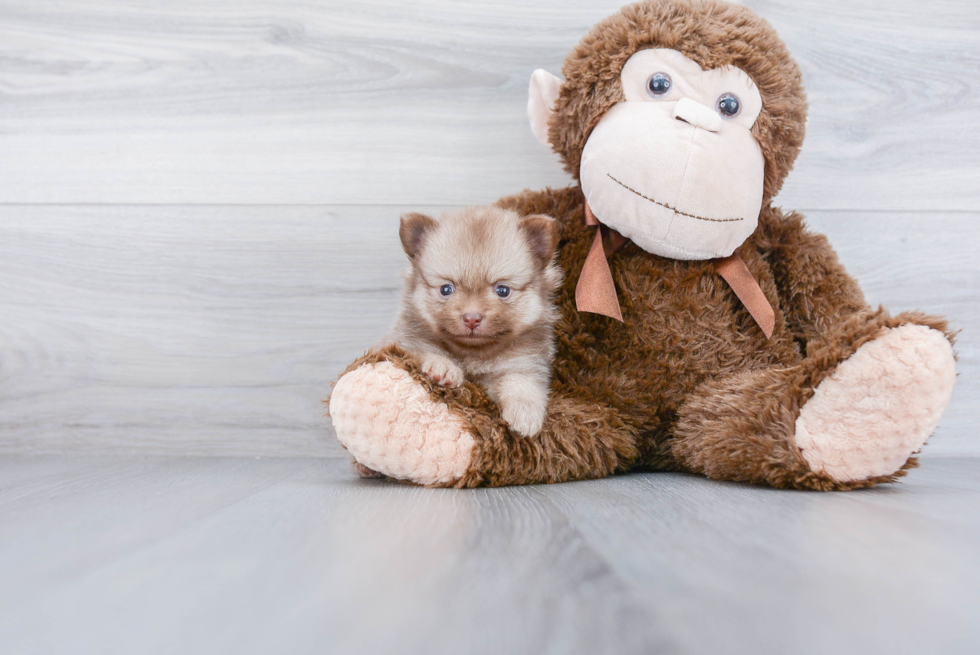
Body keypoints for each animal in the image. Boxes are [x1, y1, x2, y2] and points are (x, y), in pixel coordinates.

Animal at [386, 208, 564, 438]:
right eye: (446, 289)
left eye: (502, 290)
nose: (472, 317)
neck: (474, 354)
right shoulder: (406, 343)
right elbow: (425, 352)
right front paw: (444, 368)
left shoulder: (524, 362)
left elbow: (522, 382)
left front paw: (524, 413)